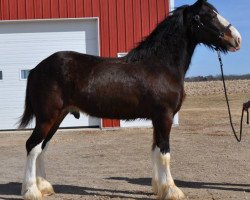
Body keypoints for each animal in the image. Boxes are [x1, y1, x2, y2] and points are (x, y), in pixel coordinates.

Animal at [19, 0, 242, 199]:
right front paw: (172, 190)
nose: (237, 39)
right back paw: (31, 191)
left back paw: (44, 187)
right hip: (47, 117)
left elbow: (155, 150)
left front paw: (159, 188)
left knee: (42, 147)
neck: (161, 65)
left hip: (57, 117)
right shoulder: (165, 116)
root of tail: (37, 68)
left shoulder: (157, 119)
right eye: (209, 16)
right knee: (32, 146)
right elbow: (164, 153)